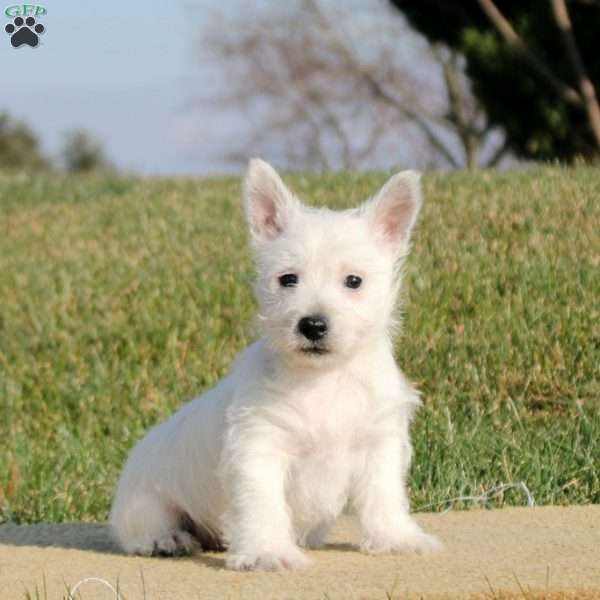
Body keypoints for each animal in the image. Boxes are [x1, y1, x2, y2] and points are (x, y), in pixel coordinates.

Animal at [111, 159, 440, 572]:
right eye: (288, 279)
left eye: (354, 281)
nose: (312, 325)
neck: (324, 380)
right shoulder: (259, 446)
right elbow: (263, 504)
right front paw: (268, 552)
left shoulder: (379, 443)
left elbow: (384, 495)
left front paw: (397, 537)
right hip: (145, 497)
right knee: (142, 526)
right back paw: (167, 539)